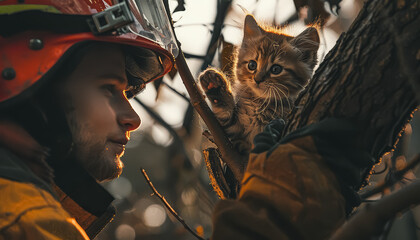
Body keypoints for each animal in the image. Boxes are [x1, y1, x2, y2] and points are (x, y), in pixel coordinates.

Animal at [199, 14, 318, 154]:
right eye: (252, 65)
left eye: (276, 69)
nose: (257, 79)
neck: (259, 104)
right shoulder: (231, 133)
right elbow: (225, 115)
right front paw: (214, 85)